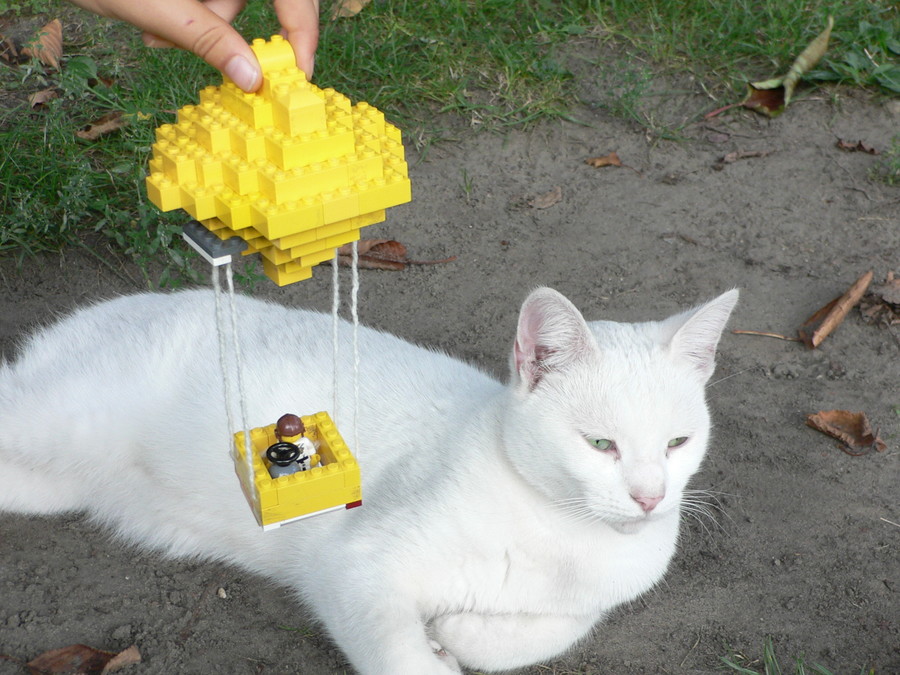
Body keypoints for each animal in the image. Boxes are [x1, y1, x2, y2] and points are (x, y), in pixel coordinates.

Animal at [0, 288, 740, 672]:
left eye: (678, 443)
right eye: (600, 444)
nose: (650, 495)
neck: (562, 535)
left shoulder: (592, 597)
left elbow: (551, 630)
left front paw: (456, 631)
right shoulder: (353, 564)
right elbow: (400, 658)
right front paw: (433, 647)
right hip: (55, 418)